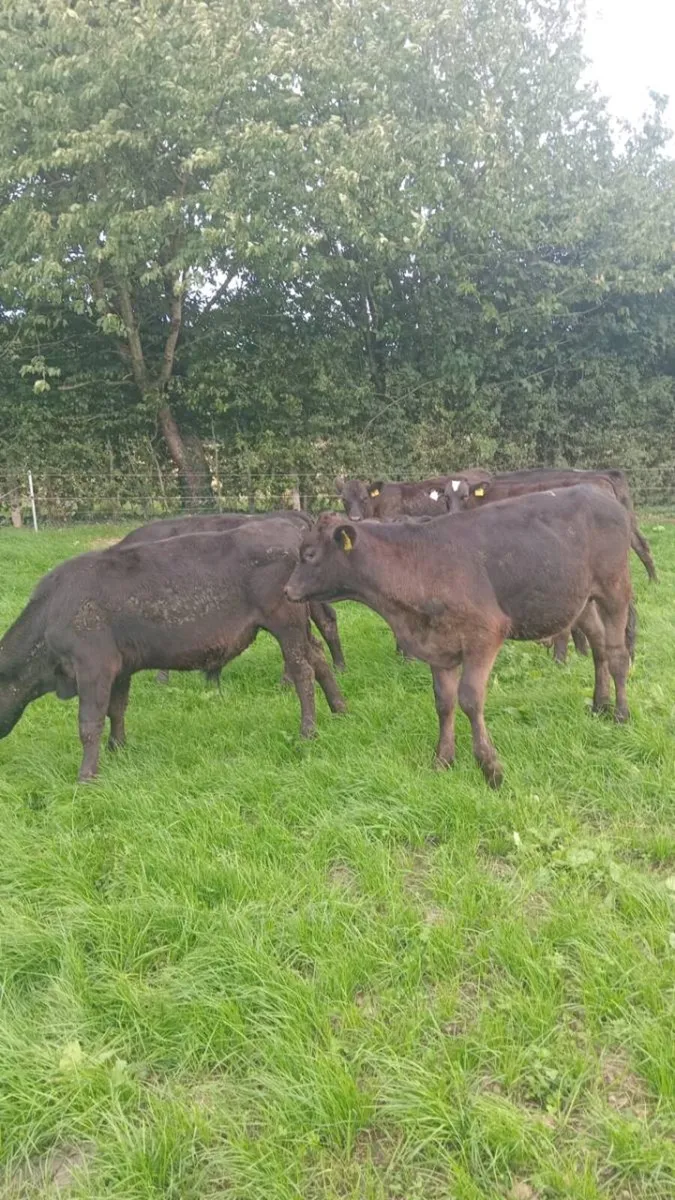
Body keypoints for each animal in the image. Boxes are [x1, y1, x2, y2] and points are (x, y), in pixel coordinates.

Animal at [284, 486, 635, 788]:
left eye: (309, 554)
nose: (287, 590)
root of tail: (600, 493)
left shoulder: (486, 634)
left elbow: (469, 698)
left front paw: (490, 767)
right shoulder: (439, 645)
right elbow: (444, 701)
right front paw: (443, 759)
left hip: (615, 589)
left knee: (618, 654)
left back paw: (620, 714)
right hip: (580, 600)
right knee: (600, 647)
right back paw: (599, 704)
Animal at [443, 467, 657, 583]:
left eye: (464, 496)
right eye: (446, 497)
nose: (452, 514)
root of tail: (604, 476)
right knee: (641, 545)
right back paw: (653, 581)